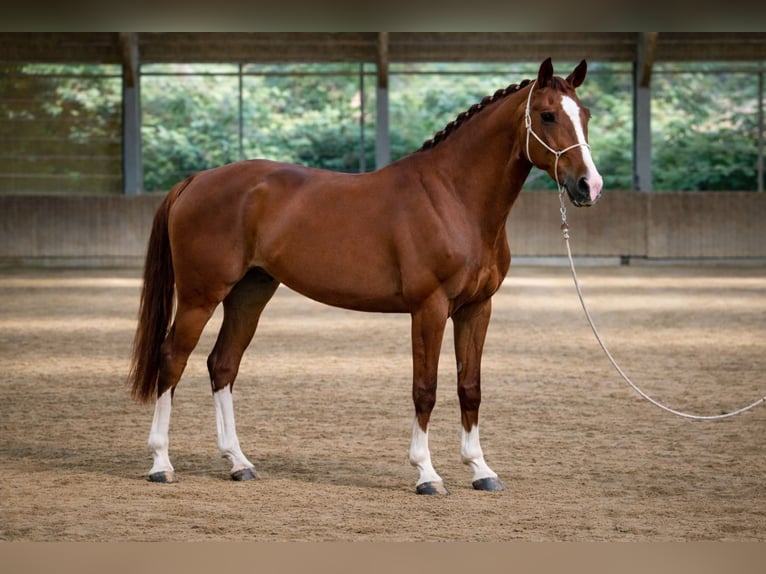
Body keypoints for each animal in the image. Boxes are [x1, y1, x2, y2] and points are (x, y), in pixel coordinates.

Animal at [129, 57, 603, 495]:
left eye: (584, 114)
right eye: (547, 115)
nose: (589, 186)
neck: (453, 197)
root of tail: (195, 181)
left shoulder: (476, 309)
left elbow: (470, 386)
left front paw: (481, 470)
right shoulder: (429, 309)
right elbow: (425, 388)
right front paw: (427, 474)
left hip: (250, 293)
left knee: (222, 364)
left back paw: (238, 462)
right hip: (200, 296)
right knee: (172, 359)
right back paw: (161, 464)